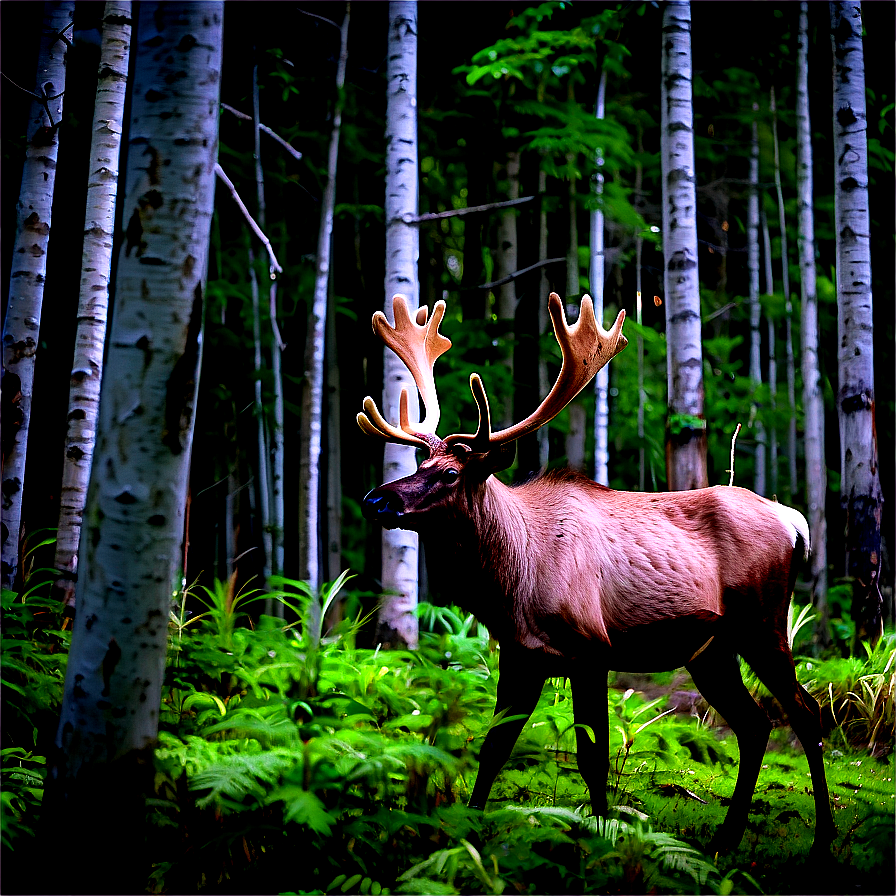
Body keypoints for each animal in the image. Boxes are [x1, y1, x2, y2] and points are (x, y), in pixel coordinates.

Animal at [356, 292, 832, 848]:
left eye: (450, 474)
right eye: (416, 466)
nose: (376, 499)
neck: (513, 582)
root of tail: (793, 520)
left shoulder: (591, 651)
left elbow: (593, 758)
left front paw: (599, 838)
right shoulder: (520, 657)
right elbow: (493, 751)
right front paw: (469, 833)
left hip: (763, 622)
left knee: (805, 713)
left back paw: (822, 838)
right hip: (711, 650)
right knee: (755, 725)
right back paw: (725, 839)